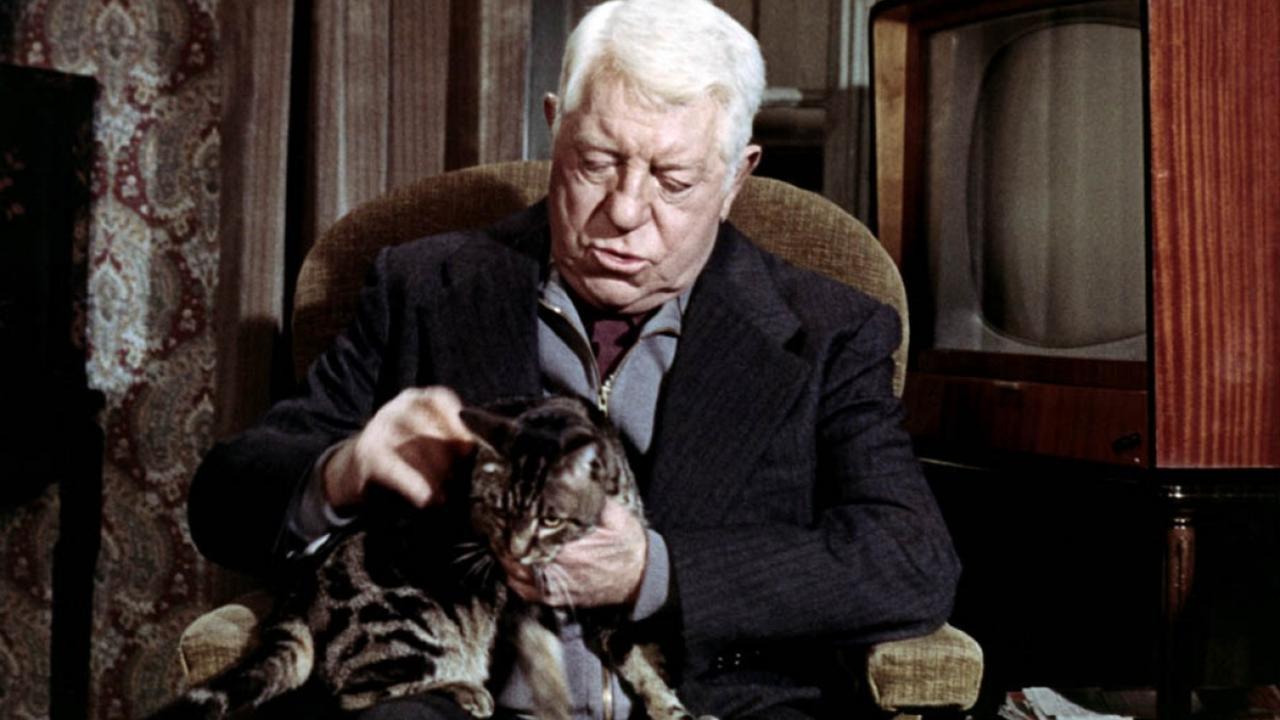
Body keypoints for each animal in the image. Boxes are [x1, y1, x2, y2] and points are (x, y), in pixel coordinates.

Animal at [149, 394, 709, 720]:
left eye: (549, 519)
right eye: (498, 511)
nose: (514, 549)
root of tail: (297, 592)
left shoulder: (604, 593)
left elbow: (633, 654)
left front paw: (665, 700)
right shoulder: (517, 602)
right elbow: (550, 659)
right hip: (411, 622)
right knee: (351, 691)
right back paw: (465, 688)